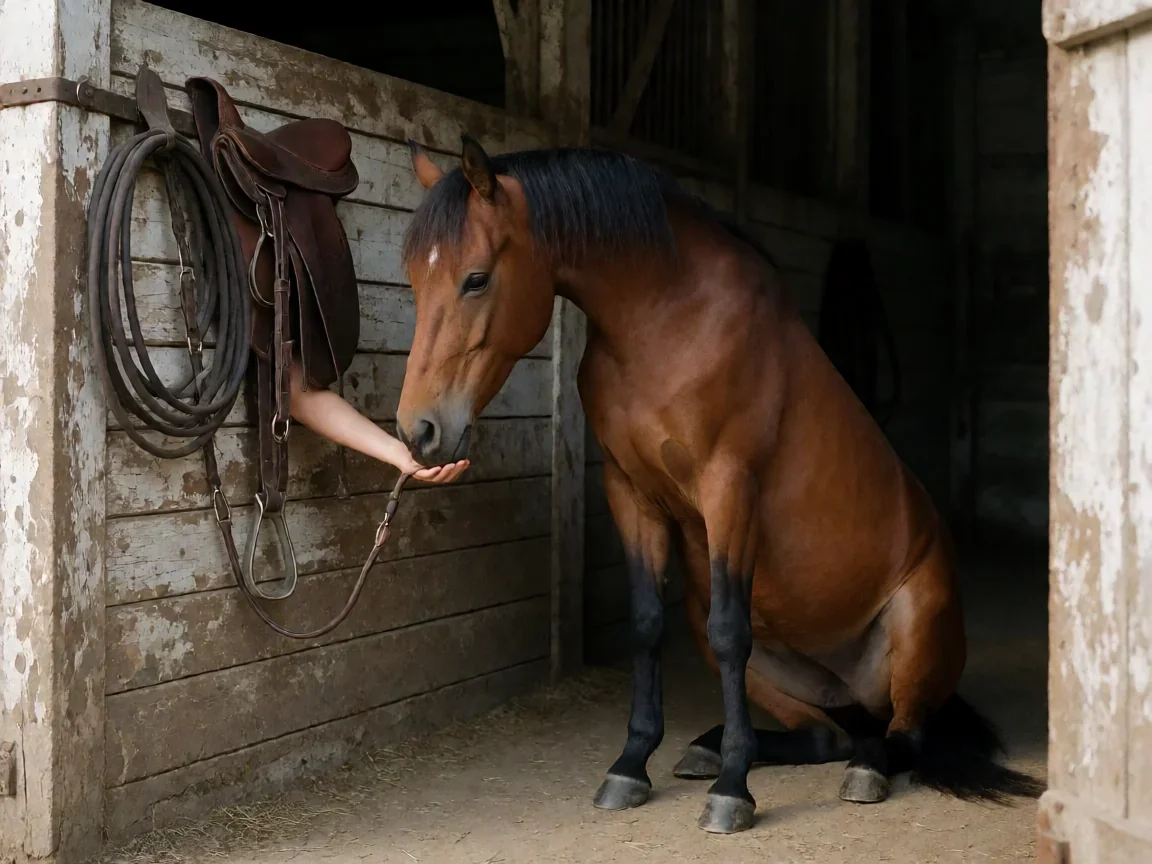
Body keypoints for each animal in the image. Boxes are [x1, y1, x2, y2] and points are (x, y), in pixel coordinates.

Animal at [395, 135, 1042, 835]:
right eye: (414, 280)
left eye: (476, 278)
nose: (419, 430)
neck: (669, 322)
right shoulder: (631, 494)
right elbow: (646, 623)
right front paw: (631, 766)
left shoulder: (729, 487)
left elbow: (732, 629)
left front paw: (734, 790)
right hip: (779, 670)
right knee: (830, 734)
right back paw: (710, 748)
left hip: (916, 631)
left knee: (900, 738)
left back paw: (854, 769)